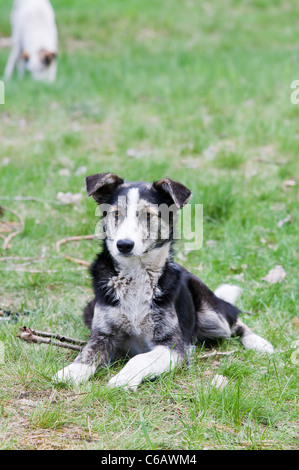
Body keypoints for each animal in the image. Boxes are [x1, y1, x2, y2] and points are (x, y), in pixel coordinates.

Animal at [52, 173, 274, 390]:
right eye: (116, 214)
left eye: (148, 215)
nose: (124, 245)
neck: (136, 273)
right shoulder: (103, 335)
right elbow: (86, 353)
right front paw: (71, 371)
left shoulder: (172, 346)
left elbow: (139, 358)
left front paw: (123, 378)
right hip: (88, 310)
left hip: (213, 316)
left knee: (234, 319)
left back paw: (258, 342)